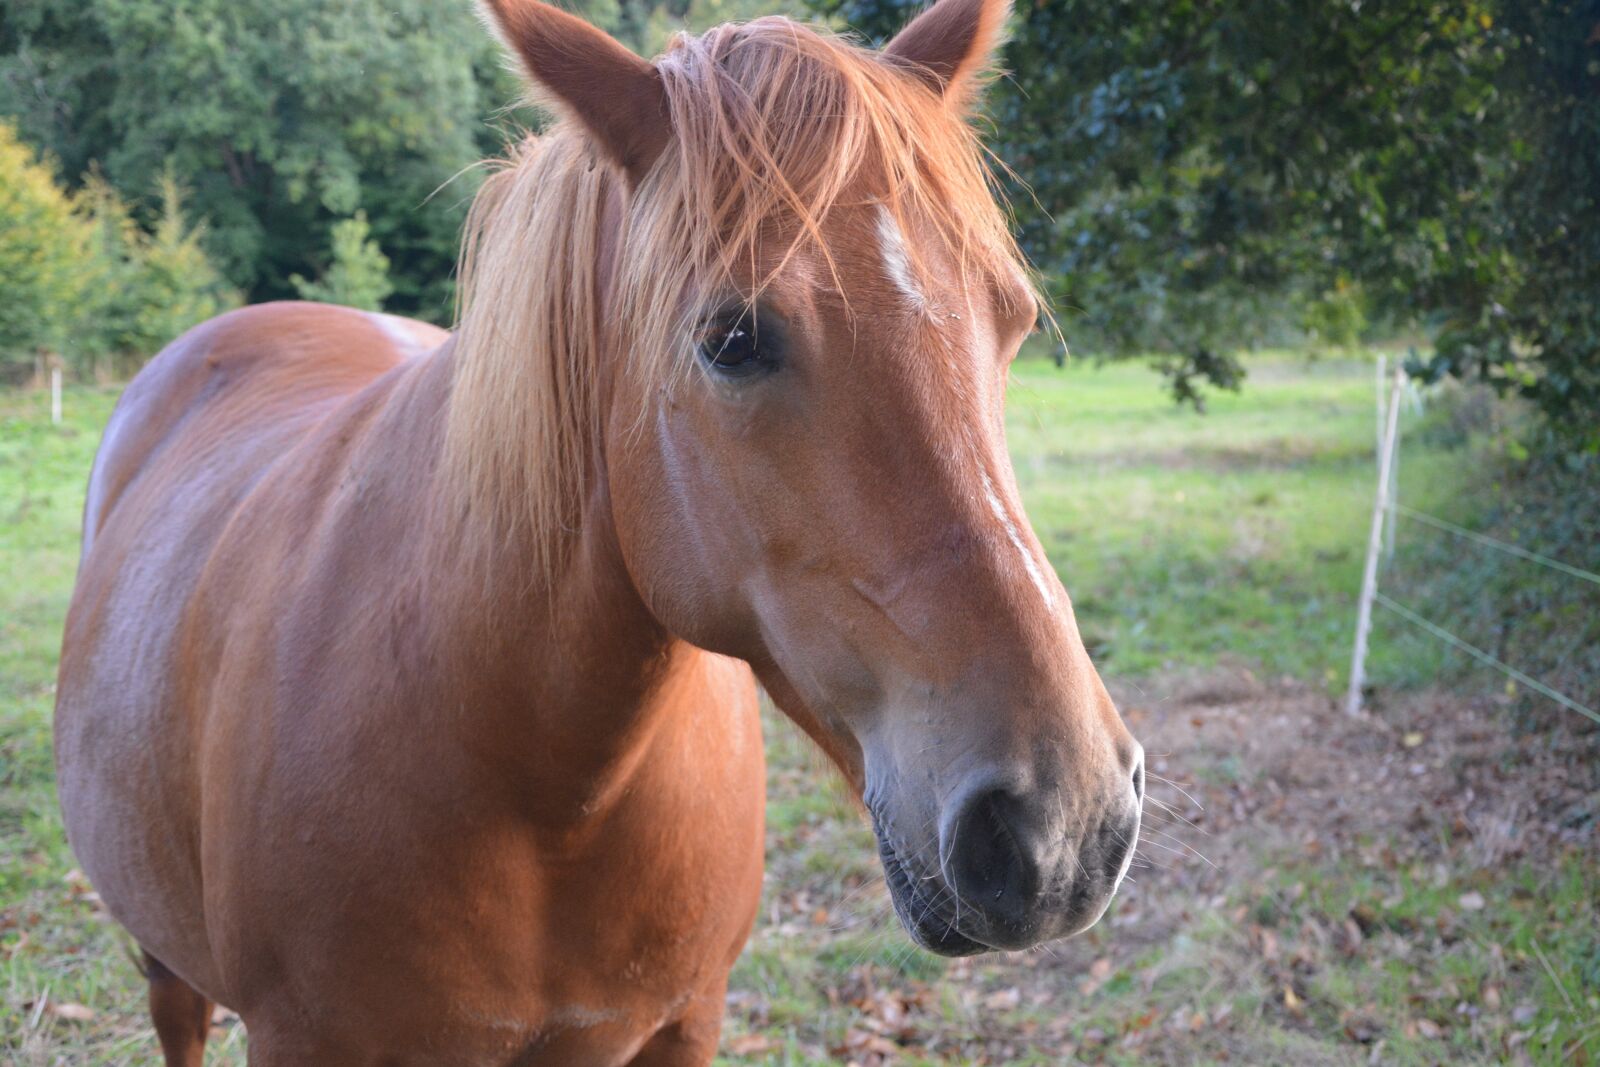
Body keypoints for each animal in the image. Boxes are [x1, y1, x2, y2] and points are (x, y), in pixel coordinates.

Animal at [53, 0, 1144, 1062]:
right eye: (729, 339)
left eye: (1012, 318)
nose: (1066, 821)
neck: (545, 785)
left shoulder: (684, 1021)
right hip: (160, 952)